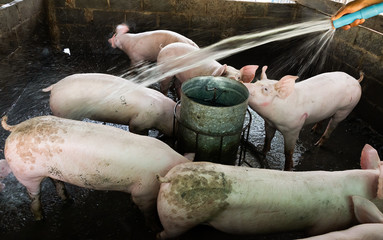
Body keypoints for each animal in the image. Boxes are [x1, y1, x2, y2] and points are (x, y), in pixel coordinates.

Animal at [0, 115, 192, 223]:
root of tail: (16, 128)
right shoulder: (145, 191)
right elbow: (147, 212)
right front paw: (150, 224)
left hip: (50, 171)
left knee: (57, 183)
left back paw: (69, 201)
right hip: (27, 174)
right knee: (34, 196)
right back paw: (41, 219)